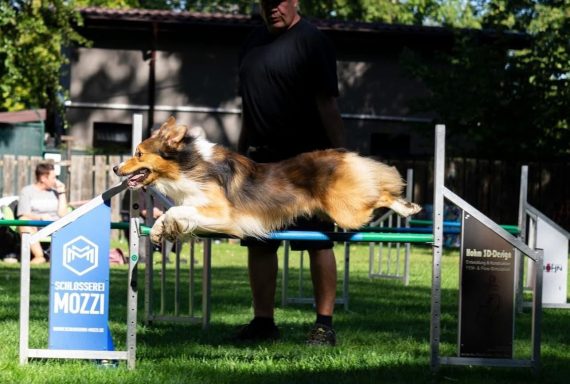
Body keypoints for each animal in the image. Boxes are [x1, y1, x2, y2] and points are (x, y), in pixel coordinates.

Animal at [113, 117, 420, 243]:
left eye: (138, 153)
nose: (116, 168)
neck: (188, 166)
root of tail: (343, 155)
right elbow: (172, 213)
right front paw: (157, 232)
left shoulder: (220, 212)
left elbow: (175, 211)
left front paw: (160, 229)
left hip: (348, 212)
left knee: (382, 193)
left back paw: (409, 207)